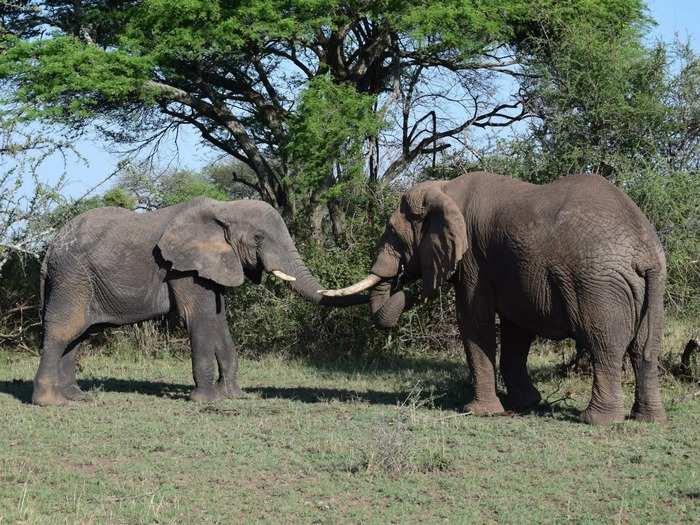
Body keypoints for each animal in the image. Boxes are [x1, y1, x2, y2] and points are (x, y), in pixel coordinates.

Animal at [34, 196, 366, 406]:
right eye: (258, 238)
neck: (224, 209)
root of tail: (49, 250)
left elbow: (219, 320)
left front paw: (234, 396)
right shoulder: (183, 267)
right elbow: (199, 318)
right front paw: (205, 400)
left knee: (80, 334)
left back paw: (76, 396)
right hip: (73, 275)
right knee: (64, 329)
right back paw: (50, 403)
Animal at [322, 174, 668, 424]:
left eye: (393, 234)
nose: (406, 288)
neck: (444, 189)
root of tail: (645, 251)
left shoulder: (473, 258)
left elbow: (475, 323)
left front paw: (478, 412)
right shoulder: (514, 272)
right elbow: (517, 328)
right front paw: (526, 403)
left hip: (598, 286)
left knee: (604, 346)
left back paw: (595, 420)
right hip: (652, 286)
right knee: (645, 349)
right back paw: (648, 419)